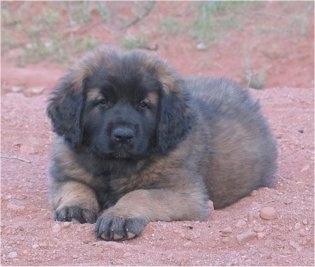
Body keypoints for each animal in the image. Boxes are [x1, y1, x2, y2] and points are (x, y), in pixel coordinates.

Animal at [46, 46, 276, 243]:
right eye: (102, 102)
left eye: (143, 104)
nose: (123, 135)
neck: (115, 166)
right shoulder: (65, 174)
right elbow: (76, 185)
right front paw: (75, 206)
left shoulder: (186, 194)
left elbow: (141, 194)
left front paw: (119, 217)